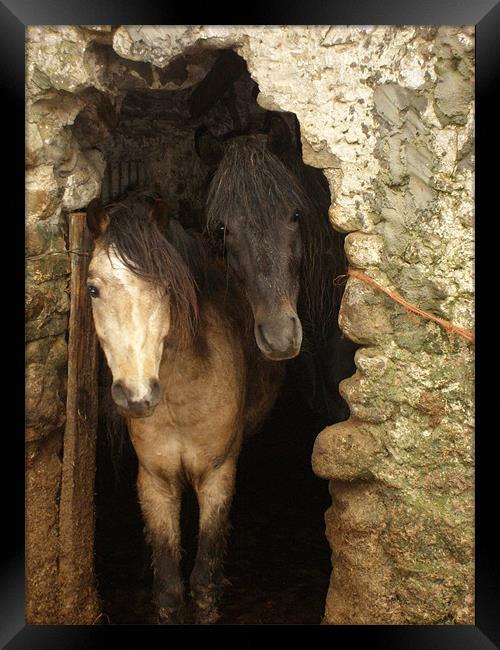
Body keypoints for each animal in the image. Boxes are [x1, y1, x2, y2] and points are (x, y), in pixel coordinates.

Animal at [84, 190, 284, 620]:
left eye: (165, 288)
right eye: (93, 289)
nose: (137, 394)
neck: (180, 400)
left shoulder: (217, 478)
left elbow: (204, 583)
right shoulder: (156, 482)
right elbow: (169, 588)